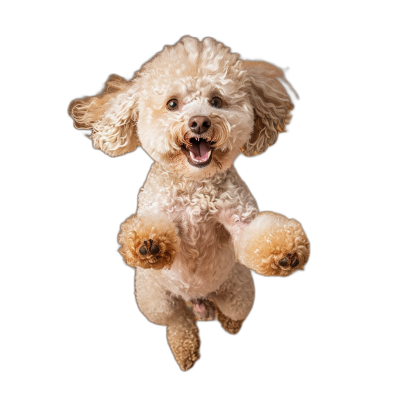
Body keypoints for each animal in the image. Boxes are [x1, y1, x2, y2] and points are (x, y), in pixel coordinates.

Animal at [70, 36, 310, 370]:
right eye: (172, 104)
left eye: (217, 101)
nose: (199, 122)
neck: (195, 183)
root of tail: (198, 301)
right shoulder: (157, 209)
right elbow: (153, 226)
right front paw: (148, 245)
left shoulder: (240, 215)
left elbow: (257, 233)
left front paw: (285, 252)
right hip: (155, 302)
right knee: (178, 320)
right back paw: (185, 350)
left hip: (239, 291)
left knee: (231, 313)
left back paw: (229, 324)